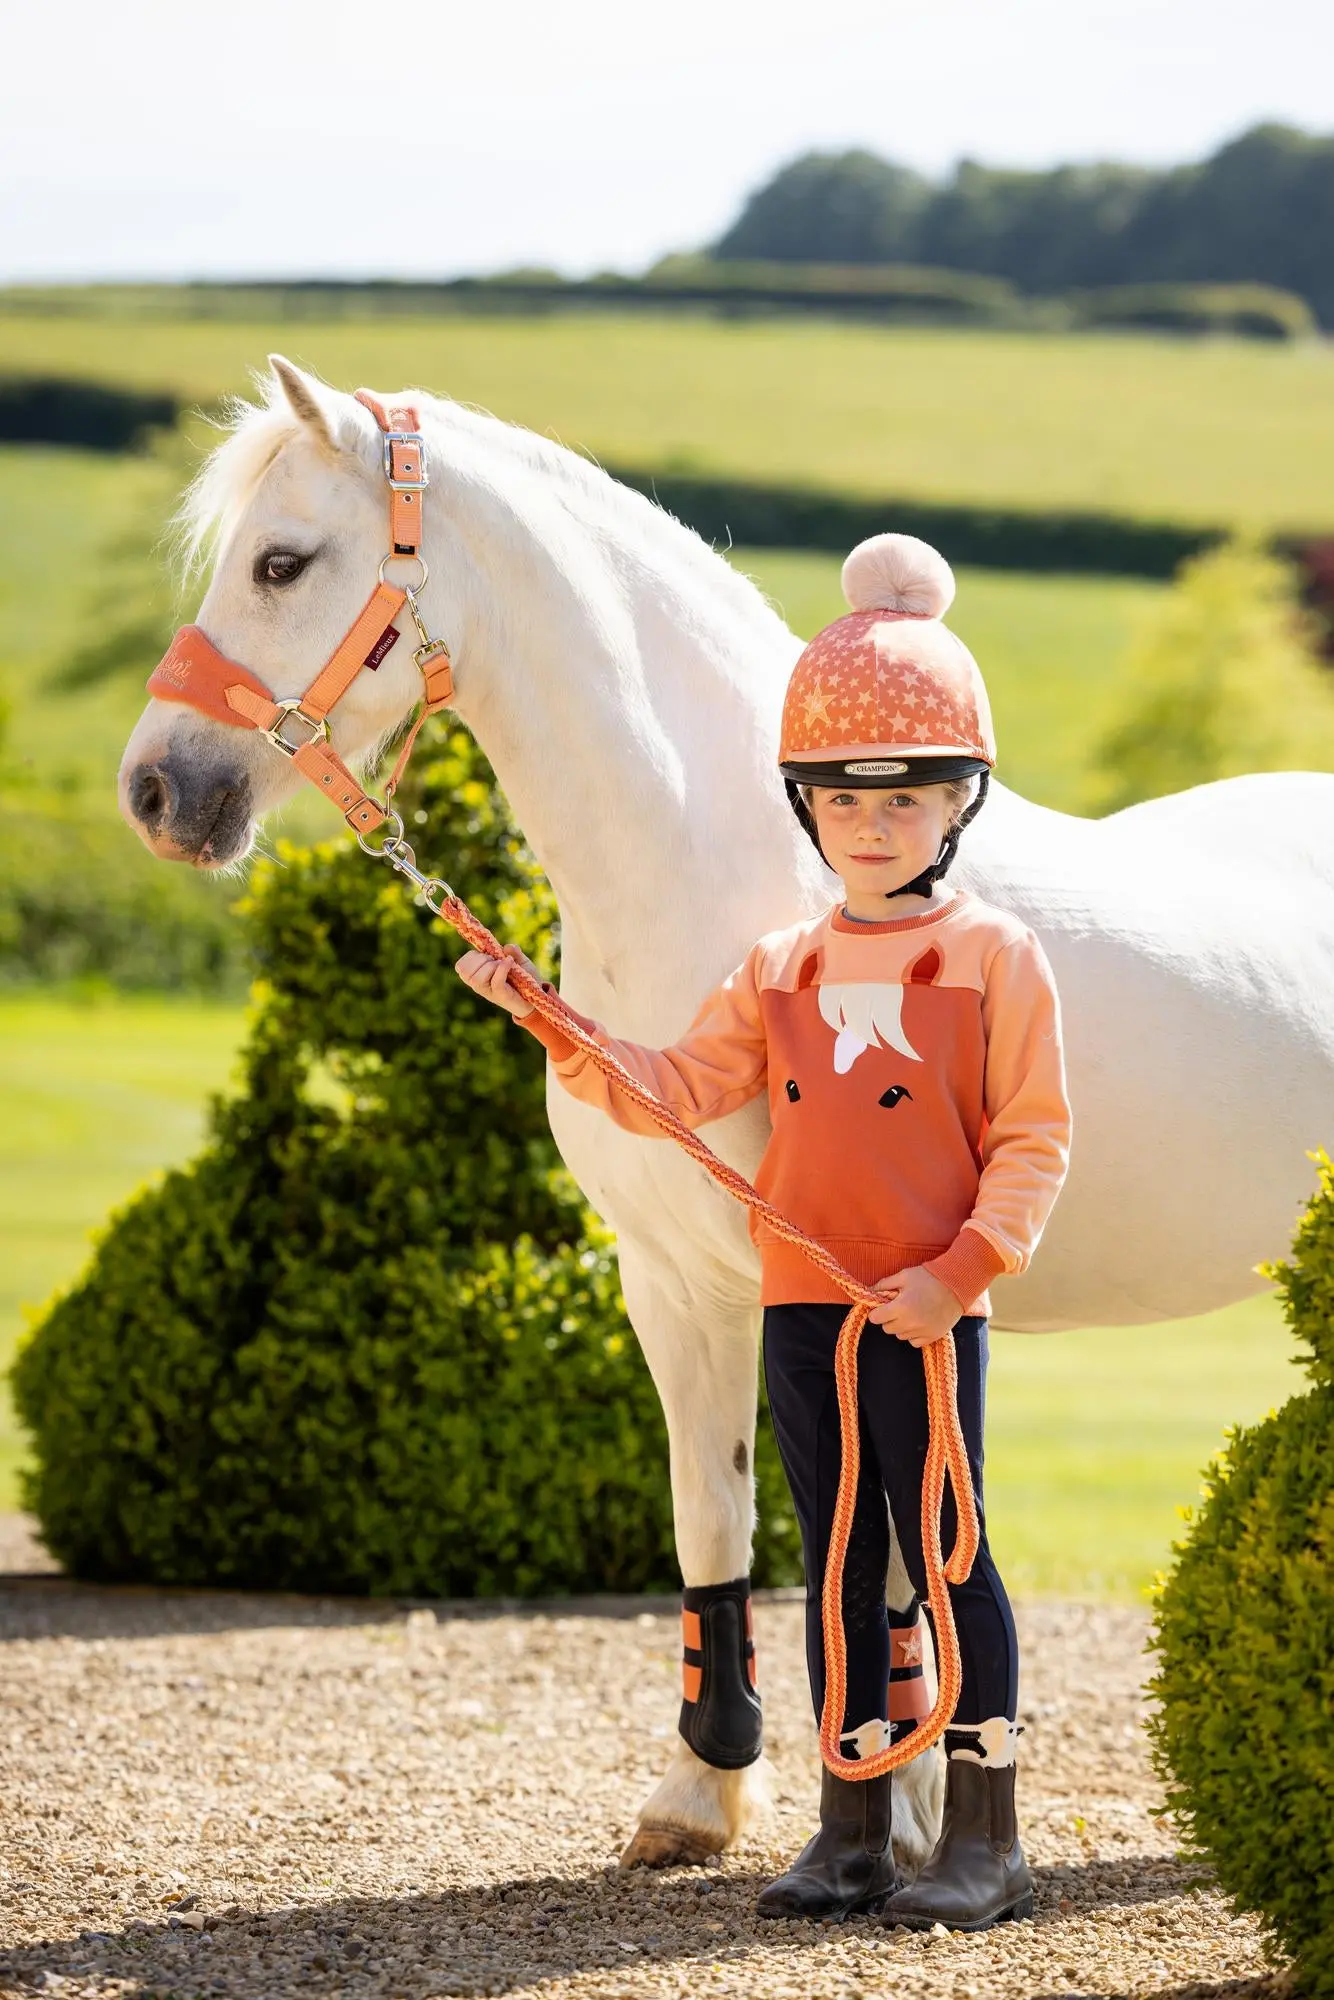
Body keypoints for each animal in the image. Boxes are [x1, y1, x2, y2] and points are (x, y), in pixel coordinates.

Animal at [118, 356, 1334, 1872]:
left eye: (282, 560)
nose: (155, 789)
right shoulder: (672, 1279)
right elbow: (714, 1518)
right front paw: (700, 1789)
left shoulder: (855, 1293)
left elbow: (879, 1543)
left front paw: (900, 1808)